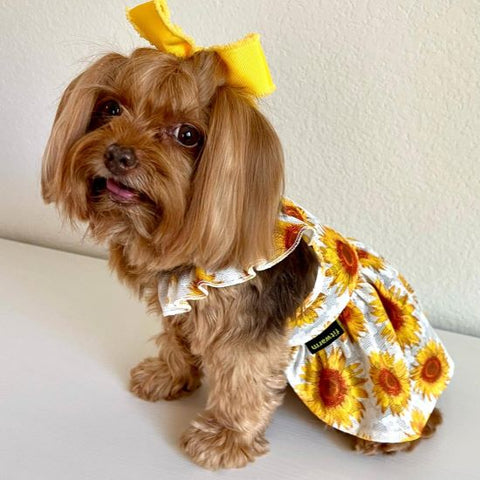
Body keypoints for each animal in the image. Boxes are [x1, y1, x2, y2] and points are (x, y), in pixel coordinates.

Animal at [41, 5, 454, 470]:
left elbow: (243, 386)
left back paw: (387, 440)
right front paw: (167, 377)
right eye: (110, 108)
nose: (118, 155)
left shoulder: (249, 338)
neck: (195, 260)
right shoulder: (182, 308)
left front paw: (224, 439)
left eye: (188, 135)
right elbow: (176, 341)